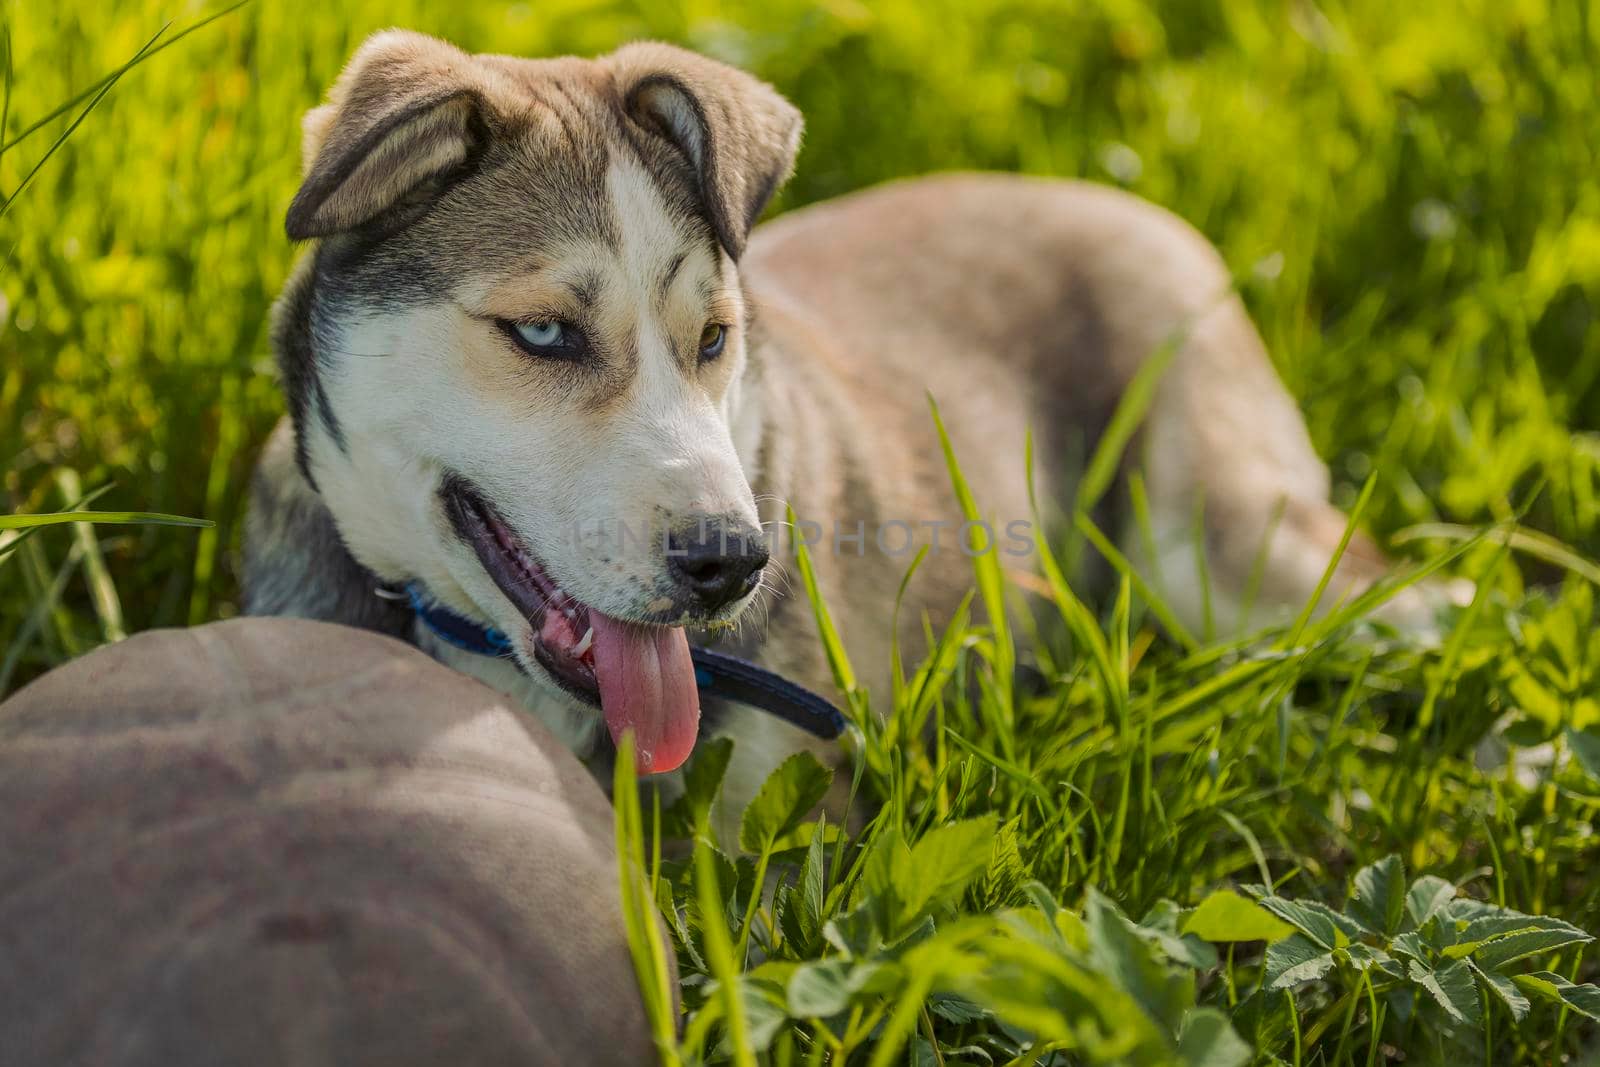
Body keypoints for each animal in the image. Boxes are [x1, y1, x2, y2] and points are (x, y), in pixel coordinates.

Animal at [243, 31, 1459, 819]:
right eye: (543, 332)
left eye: (715, 338)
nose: (730, 564)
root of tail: (1139, 204)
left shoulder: (787, 792)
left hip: (1220, 549)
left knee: (1418, 601)